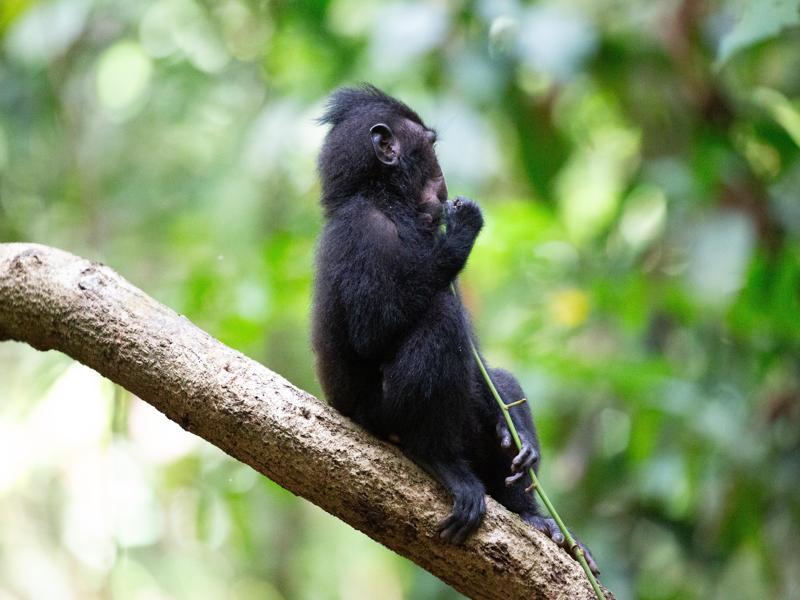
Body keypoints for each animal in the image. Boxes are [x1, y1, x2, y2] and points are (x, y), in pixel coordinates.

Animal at [311, 84, 598, 573]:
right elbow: (374, 329)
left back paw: (536, 517)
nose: (444, 186)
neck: (385, 200)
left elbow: (486, 367)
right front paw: (463, 228)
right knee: (440, 317)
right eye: (431, 146)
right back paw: (436, 458)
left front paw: (518, 428)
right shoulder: (363, 230)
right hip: (380, 415)